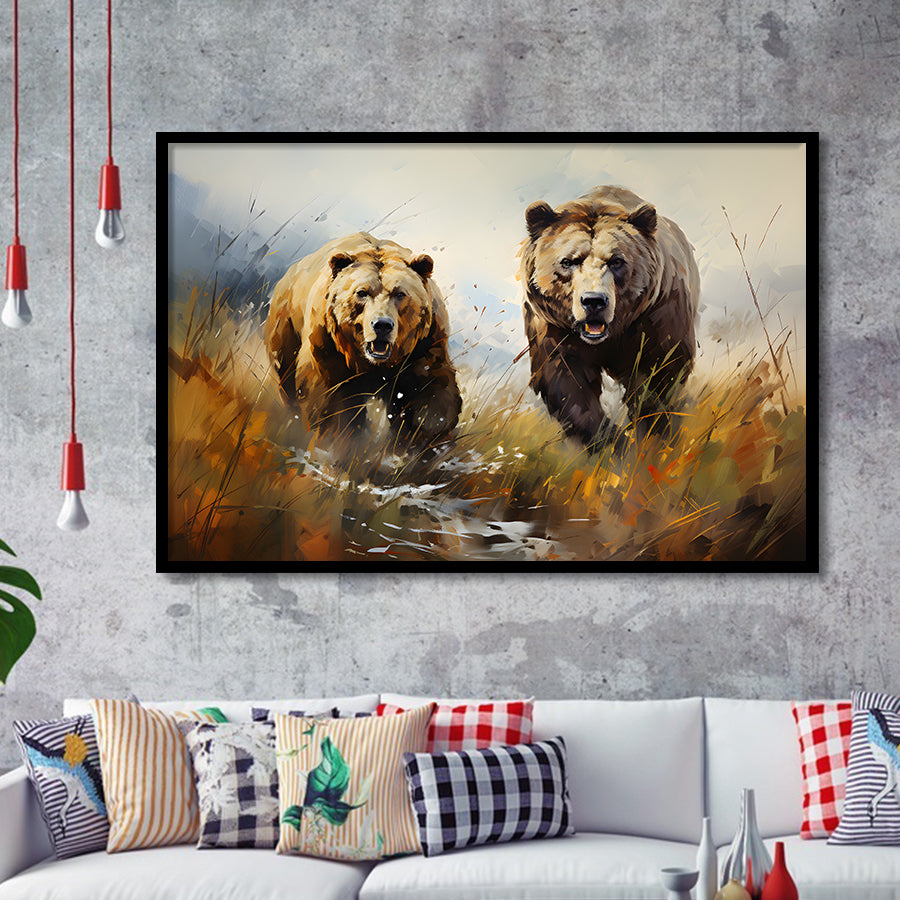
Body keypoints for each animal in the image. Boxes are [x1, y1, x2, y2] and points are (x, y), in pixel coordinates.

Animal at [265, 232, 462, 448]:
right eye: (361, 292)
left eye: (400, 293)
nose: (382, 325)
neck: (374, 363)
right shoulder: (329, 345)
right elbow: (332, 401)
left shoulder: (424, 343)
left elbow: (429, 393)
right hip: (286, 327)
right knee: (287, 379)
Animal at [520, 185, 700, 447]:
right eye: (568, 261)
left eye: (616, 260)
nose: (594, 301)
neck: (612, 332)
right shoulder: (554, 326)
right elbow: (566, 381)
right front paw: (609, 440)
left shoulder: (658, 315)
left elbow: (660, 371)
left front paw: (649, 431)